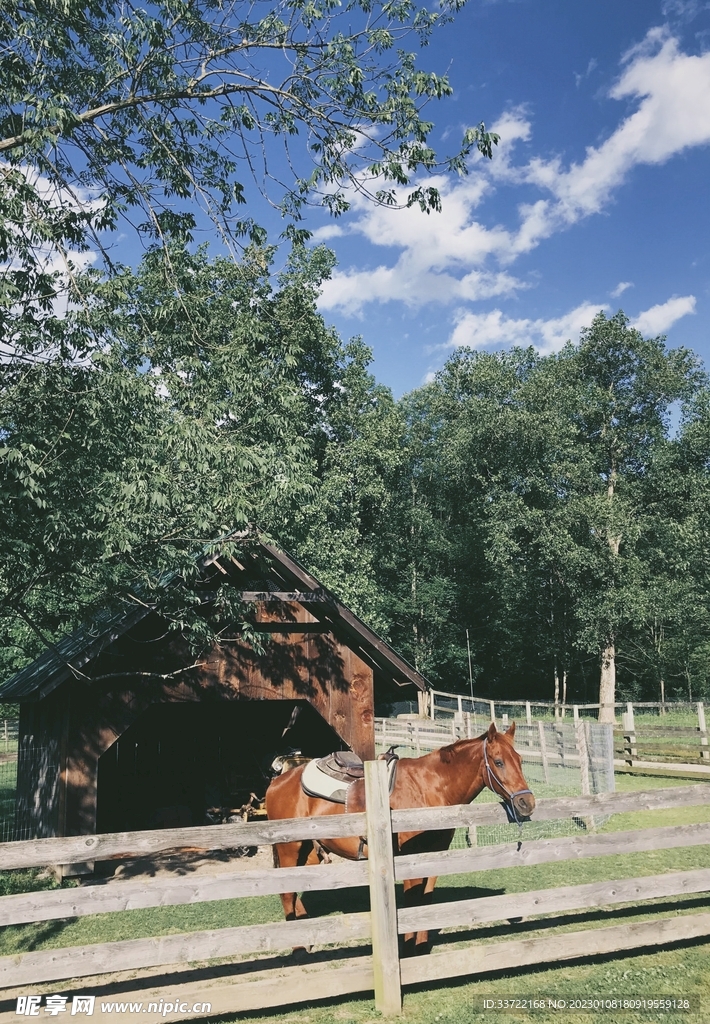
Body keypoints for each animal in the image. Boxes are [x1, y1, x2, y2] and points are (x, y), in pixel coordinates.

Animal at [264, 720, 535, 954]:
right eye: (498, 762)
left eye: (520, 760)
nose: (527, 803)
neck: (429, 788)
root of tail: (278, 781)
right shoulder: (409, 858)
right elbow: (412, 901)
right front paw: (407, 948)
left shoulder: (433, 855)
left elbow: (425, 899)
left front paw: (421, 946)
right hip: (289, 848)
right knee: (287, 892)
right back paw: (298, 949)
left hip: (309, 850)